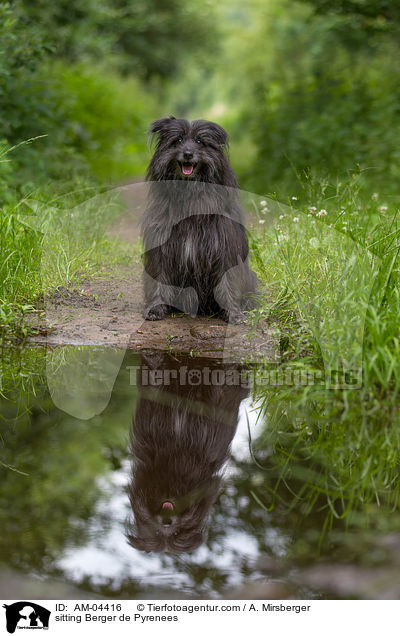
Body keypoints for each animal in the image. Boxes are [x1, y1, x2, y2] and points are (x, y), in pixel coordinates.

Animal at [126, 350, 248, 556]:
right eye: (156, 531)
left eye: (178, 533)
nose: (167, 523)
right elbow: (154, 376)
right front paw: (153, 357)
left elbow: (217, 387)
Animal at [142, 115, 258, 322]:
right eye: (178, 140)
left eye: (199, 142)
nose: (188, 154)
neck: (190, 193)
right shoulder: (161, 247)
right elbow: (159, 278)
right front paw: (156, 308)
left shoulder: (224, 248)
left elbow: (228, 281)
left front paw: (233, 312)